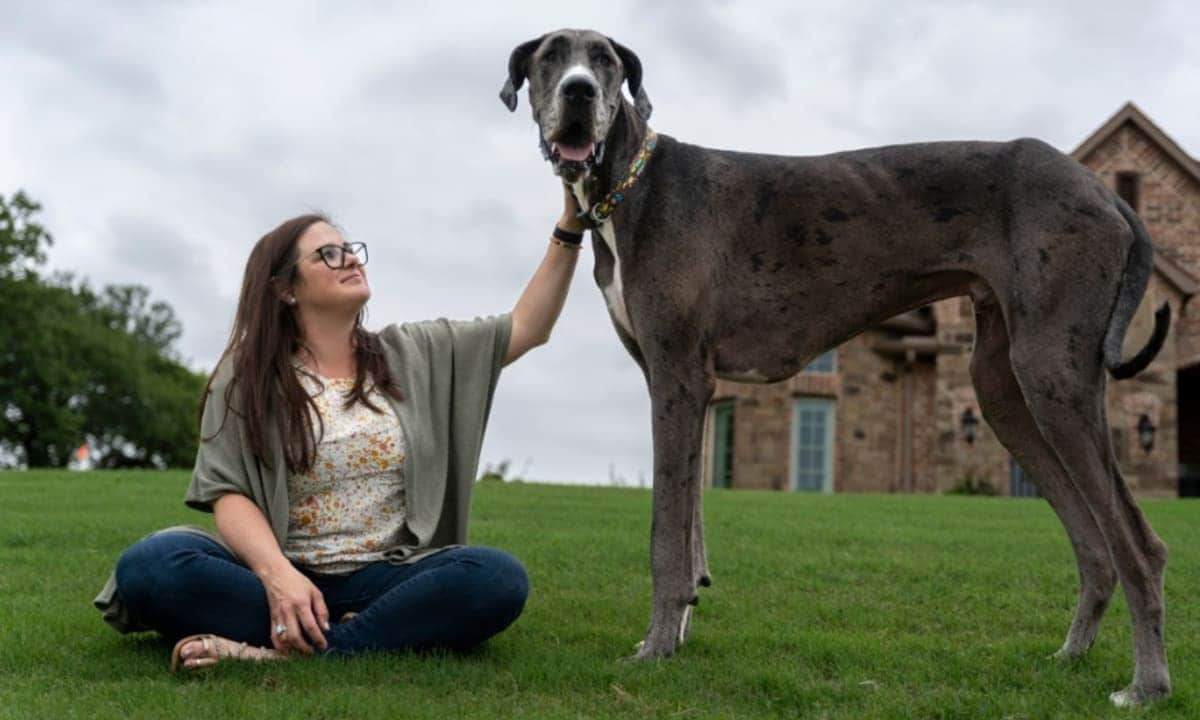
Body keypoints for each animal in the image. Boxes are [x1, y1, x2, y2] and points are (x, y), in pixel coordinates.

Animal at [496, 29, 1171, 710]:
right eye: (550, 57)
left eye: (604, 60)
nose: (579, 92)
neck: (631, 185)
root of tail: (1107, 194)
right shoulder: (682, 386)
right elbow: (690, 525)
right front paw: (678, 630)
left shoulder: (679, 377)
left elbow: (666, 533)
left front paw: (656, 648)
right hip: (1003, 389)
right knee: (1095, 543)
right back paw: (1071, 656)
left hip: (1051, 375)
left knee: (1140, 544)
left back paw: (1146, 685)